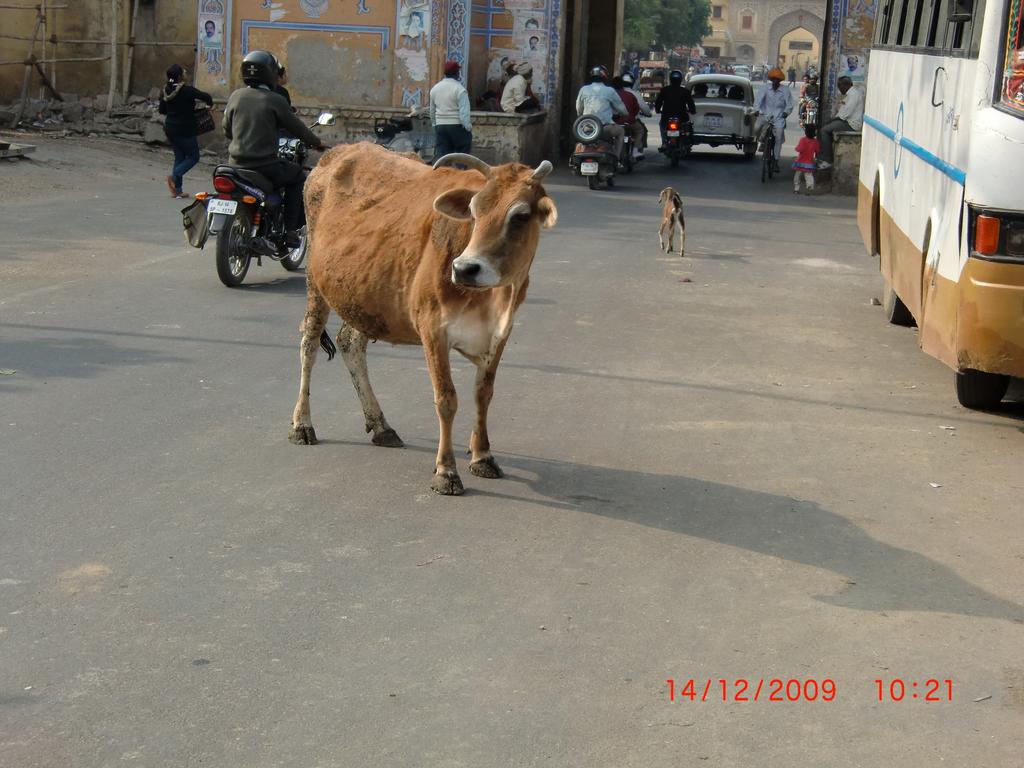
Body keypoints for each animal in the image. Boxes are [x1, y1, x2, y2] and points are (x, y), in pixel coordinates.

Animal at [288, 142, 561, 495]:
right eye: (474, 209)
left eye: (521, 216)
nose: (465, 269)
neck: (494, 298)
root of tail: (339, 152)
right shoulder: (433, 330)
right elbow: (446, 399)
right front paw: (446, 472)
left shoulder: (500, 334)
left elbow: (483, 394)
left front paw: (482, 456)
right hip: (315, 283)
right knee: (308, 346)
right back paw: (302, 425)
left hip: (365, 297)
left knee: (350, 343)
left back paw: (381, 426)